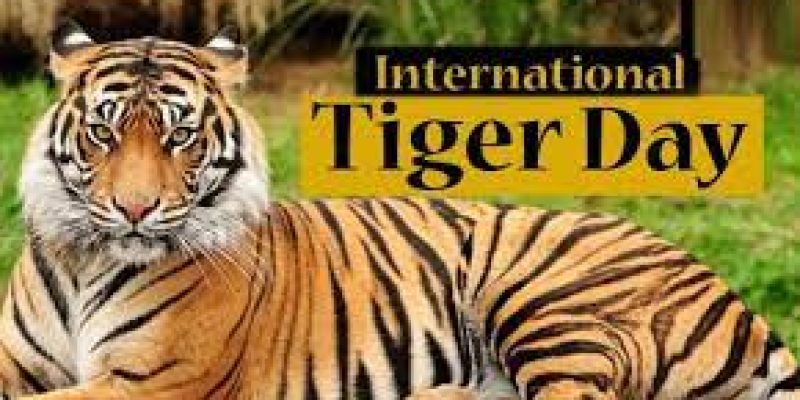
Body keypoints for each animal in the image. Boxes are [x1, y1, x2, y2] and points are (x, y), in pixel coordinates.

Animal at [0, 20, 798, 400]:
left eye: (180, 136)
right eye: (104, 133)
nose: (134, 210)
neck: (84, 258)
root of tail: (722, 287)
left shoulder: (157, 381)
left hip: (543, 294)